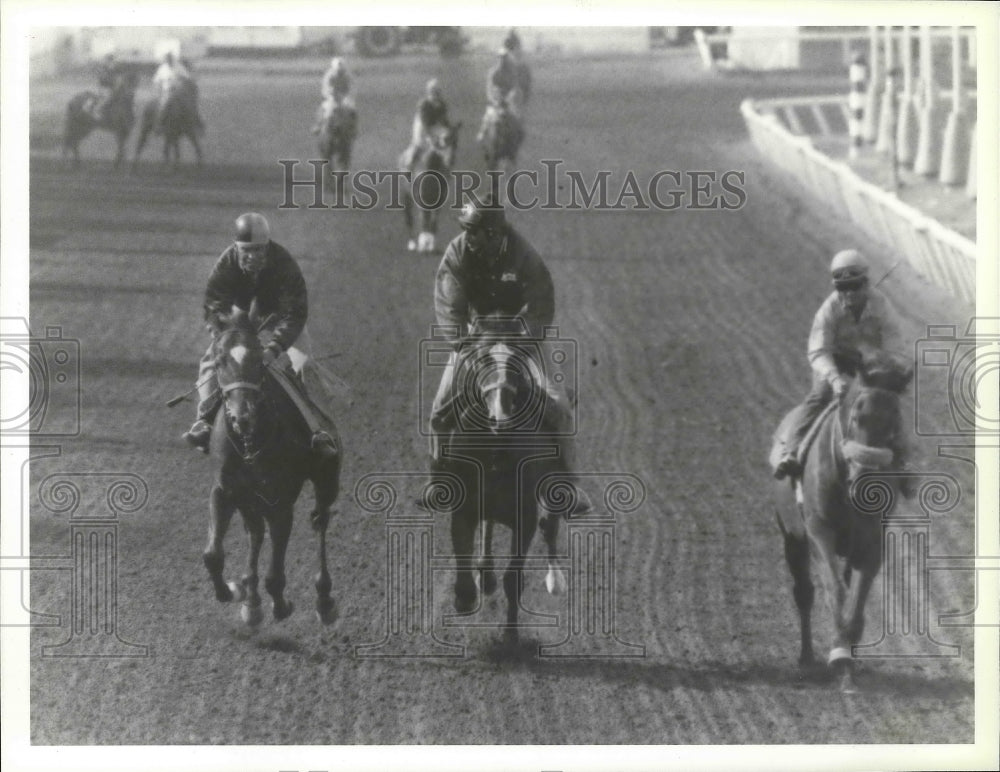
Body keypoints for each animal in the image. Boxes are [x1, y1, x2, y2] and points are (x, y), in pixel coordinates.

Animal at [201, 312, 342, 628]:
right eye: (219, 361)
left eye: (258, 360)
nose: (241, 415)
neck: (251, 442)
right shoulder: (224, 491)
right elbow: (212, 554)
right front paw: (229, 591)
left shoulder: (281, 503)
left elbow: (275, 574)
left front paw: (281, 605)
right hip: (250, 501)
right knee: (255, 533)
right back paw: (251, 599)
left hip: (326, 480)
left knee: (320, 521)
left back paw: (323, 599)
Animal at [402, 122, 460, 252]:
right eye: (442, 144)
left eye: (455, 144)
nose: (451, 160)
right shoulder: (421, 198)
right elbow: (424, 218)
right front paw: (423, 245)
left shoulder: (439, 199)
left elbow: (433, 221)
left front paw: (430, 244)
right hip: (407, 197)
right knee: (409, 218)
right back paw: (412, 243)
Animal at [432, 310, 572, 644]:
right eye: (479, 359)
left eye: (518, 362)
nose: (500, 418)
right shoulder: (464, 508)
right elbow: (463, 559)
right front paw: (466, 595)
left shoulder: (525, 517)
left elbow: (514, 578)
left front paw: (510, 636)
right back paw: (485, 575)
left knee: (551, 526)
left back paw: (555, 579)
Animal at [772, 352, 916, 692]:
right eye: (857, 415)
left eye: (895, 420)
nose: (865, 477)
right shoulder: (819, 532)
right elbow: (834, 590)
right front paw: (838, 655)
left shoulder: (873, 539)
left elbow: (858, 597)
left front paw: (848, 660)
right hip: (792, 538)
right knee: (804, 592)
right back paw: (807, 658)